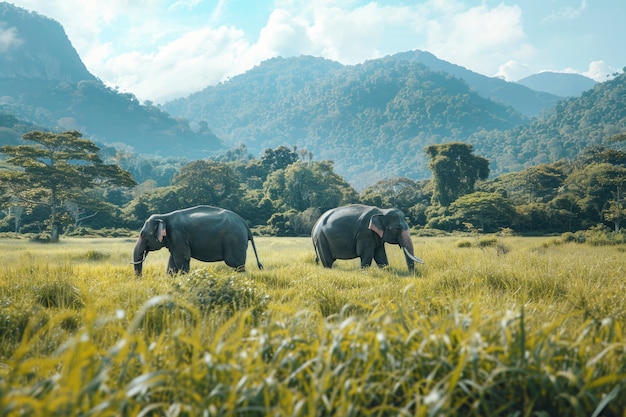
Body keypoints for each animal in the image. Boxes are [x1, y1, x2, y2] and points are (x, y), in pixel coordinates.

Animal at [132, 206, 260, 276]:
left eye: (142, 234)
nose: (140, 278)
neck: (164, 216)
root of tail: (244, 224)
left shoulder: (178, 235)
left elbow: (182, 258)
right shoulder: (174, 239)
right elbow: (173, 261)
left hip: (234, 239)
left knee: (235, 263)